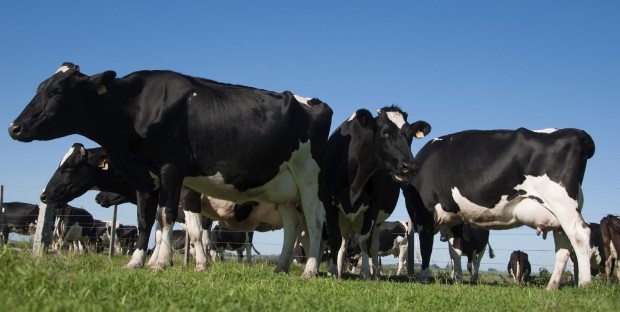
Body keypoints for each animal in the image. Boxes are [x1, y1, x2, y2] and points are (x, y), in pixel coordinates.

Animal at [7, 62, 332, 276]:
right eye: (39, 88)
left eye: (57, 91)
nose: (14, 127)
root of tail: (316, 102)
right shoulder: (147, 179)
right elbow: (146, 222)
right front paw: (137, 263)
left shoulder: (173, 172)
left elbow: (172, 220)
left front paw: (166, 264)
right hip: (285, 191)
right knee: (294, 225)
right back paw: (281, 267)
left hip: (309, 177)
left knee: (314, 221)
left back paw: (310, 269)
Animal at [320, 106, 432, 278]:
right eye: (385, 132)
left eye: (410, 135)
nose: (410, 166)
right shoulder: (329, 203)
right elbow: (335, 239)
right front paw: (333, 271)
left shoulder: (373, 208)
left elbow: (364, 241)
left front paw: (366, 271)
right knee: (343, 244)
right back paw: (339, 269)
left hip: (380, 225)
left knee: (374, 247)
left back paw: (376, 275)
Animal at [402, 127, 596, 290]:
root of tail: (576, 132)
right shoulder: (454, 218)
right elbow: (455, 251)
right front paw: (457, 280)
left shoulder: (423, 214)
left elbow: (426, 247)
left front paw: (423, 278)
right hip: (559, 214)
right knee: (563, 247)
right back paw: (552, 286)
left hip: (562, 203)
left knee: (580, 236)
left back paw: (584, 284)